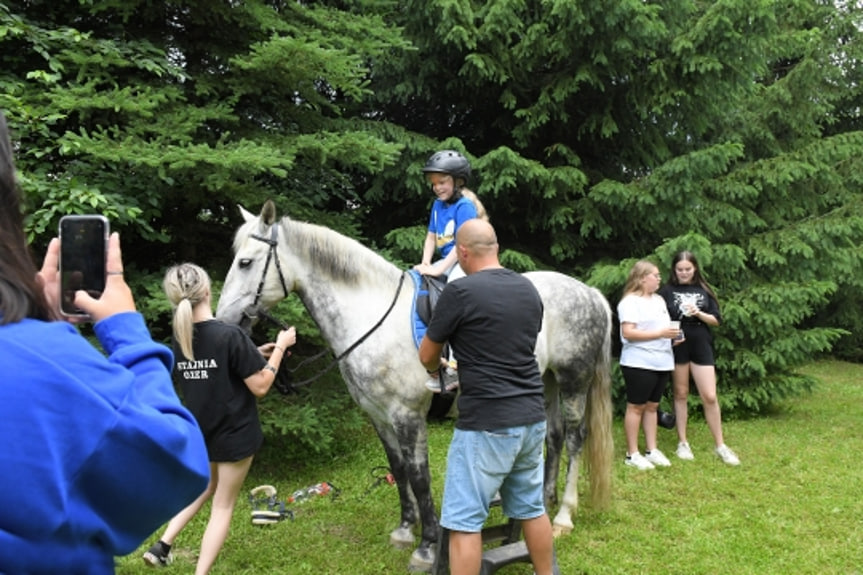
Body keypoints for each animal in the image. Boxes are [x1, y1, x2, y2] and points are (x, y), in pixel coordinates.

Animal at [216, 201, 616, 572]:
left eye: (246, 263)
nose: (224, 320)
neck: (371, 316)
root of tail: (589, 292)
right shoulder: (378, 415)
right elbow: (399, 468)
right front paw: (406, 528)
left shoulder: (407, 414)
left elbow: (419, 475)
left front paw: (427, 546)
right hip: (546, 383)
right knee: (554, 437)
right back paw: (546, 500)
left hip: (574, 380)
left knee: (575, 439)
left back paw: (563, 516)